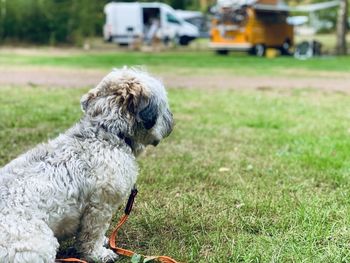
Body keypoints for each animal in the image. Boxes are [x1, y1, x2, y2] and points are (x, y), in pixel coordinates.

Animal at [0, 68, 174, 263]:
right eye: (163, 105)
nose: (171, 121)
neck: (107, 132)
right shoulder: (100, 206)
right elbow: (92, 235)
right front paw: (99, 254)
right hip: (39, 243)